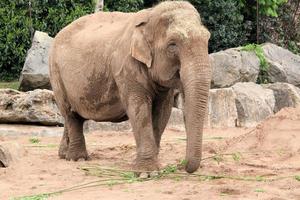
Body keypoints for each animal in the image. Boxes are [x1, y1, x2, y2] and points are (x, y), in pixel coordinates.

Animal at [49, 0, 211, 173]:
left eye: (207, 39)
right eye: (172, 44)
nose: (181, 165)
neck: (150, 15)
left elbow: (162, 111)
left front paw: (151, 166)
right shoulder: (126, 66)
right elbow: (139, 109)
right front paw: (147, 172)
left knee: (70, 116)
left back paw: (63, 155)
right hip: (56, 73)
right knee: (70, 114)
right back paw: (77, 158)